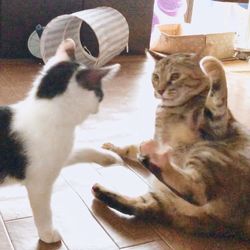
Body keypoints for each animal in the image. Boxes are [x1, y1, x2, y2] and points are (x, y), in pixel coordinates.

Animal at [0, 38, 120, 242]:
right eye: (100, 94)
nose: (99, 108)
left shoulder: (61, 155)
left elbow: (84, 150)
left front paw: (108, 157)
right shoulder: (39, 183)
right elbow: (44, 212)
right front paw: (47, 234)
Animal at [92, 50, 250, 238]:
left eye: (175, 76)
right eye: (155, 77)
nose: (160, 90)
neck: (169, 109)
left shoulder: (217, 125)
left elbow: (216, 99)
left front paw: (211, 64)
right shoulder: (157, 140)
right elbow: (130, 147)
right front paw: (112, 148)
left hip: (206, 153)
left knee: (197, 191)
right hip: (164, 199)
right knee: (143, 206)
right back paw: (102, 190)